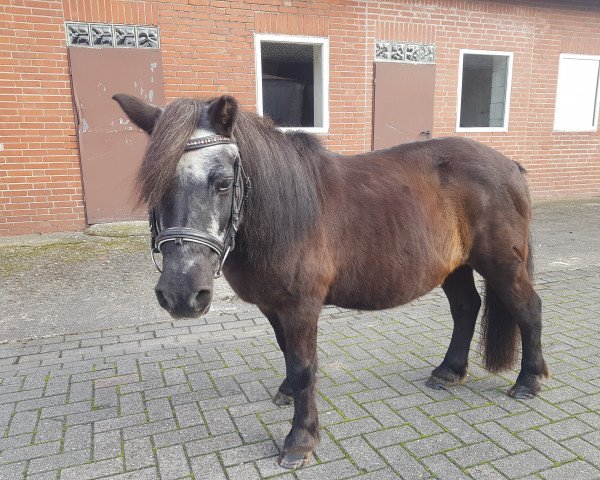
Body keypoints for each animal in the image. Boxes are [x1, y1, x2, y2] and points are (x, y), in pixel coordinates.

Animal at [115, 93, 552, 468]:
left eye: (222, 182)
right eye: (153, 186)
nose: (181, 294)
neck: (282, 211)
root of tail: (510, 165)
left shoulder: (301, 307)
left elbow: (305, 366)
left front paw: (300, 440)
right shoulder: (273, 306)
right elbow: (289, 356)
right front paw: (287, 393)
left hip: (502, 264)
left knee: (528, 310)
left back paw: (528, 380)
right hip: (454, 266)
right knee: (466, 309)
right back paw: (449, 371)